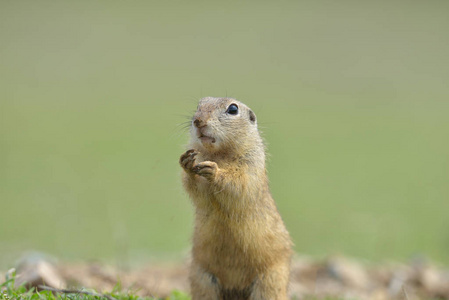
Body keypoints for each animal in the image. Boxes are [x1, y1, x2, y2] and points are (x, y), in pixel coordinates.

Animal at [180, 97, 292, 298]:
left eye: (233, 109)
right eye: (199, 105)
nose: (198, 121)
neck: (220, 154)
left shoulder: (252, 163)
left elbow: (240, 183)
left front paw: (215, 171)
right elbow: (197, 189)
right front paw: (187, 163)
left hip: (271, 280)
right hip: (202, 278)